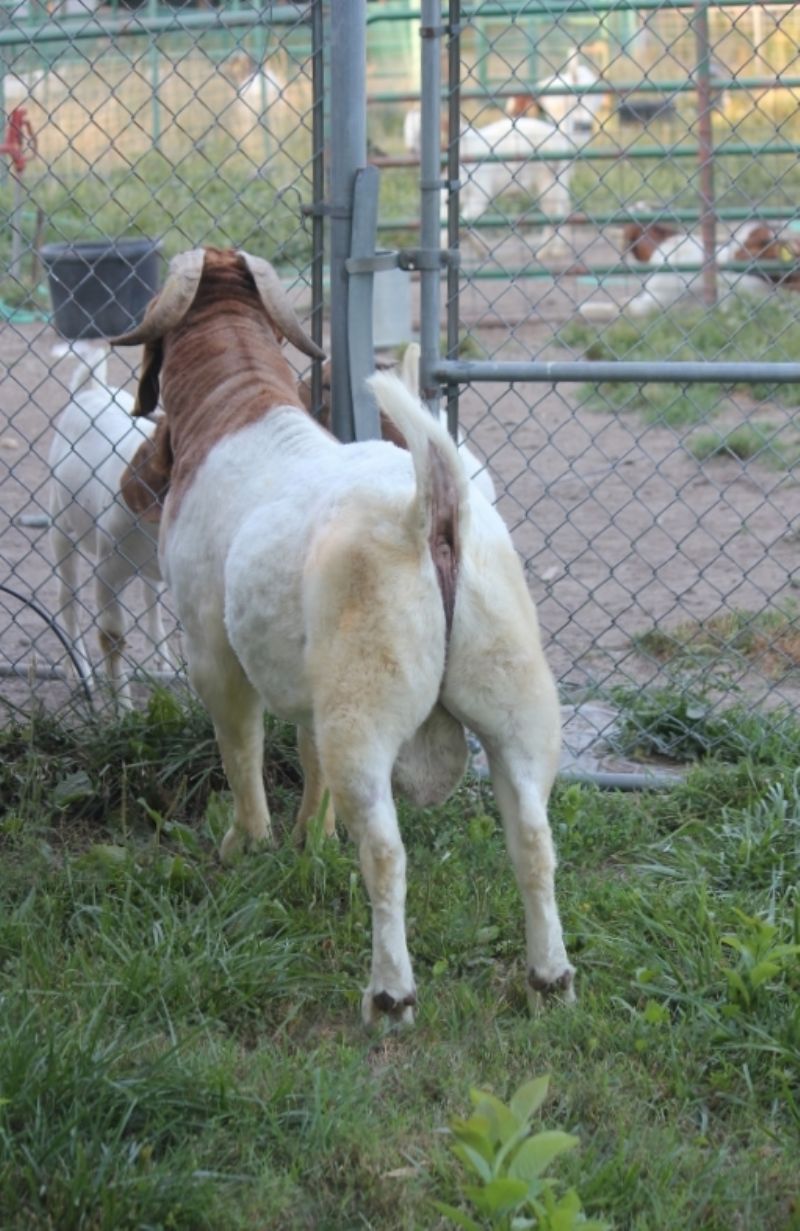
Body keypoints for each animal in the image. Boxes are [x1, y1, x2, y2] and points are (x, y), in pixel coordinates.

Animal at [48, 339, 172, 704]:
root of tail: (91, 389)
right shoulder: (107, 573)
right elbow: (112, 638)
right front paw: (124, 710)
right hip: (61, 527)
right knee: (68, 600)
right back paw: (80, 673)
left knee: (151, 597)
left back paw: (161, 661)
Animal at [112, 244, 573, 1024]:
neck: (239, 408)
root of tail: (433, 506)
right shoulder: (310, 686)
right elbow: (308, 760)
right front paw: (311, 843)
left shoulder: (214, 656)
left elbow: (242, 751)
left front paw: (248, 847)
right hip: (513, 706)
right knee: (535, 842)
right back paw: (549, 977)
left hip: (367, 711)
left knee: (387, 853)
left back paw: (389, 994)